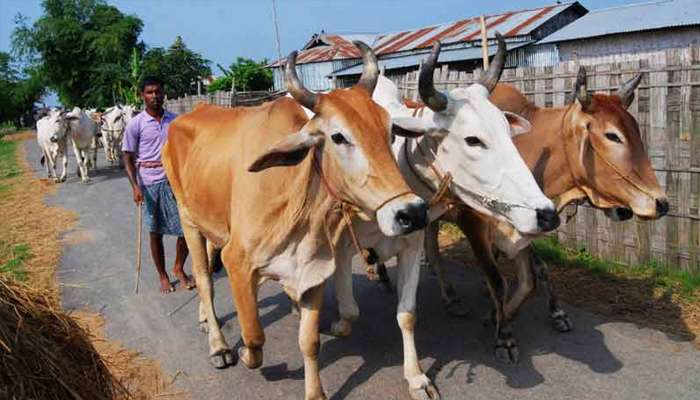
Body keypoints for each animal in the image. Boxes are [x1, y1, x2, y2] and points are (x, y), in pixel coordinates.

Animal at [164, 42, 426, 398]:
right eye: (338, 137)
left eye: (389, 131)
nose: (412, 212)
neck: (298, 200)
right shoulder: (237, 260)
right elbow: (254, 335)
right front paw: (245, 354)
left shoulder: (315, 268)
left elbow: (310, 341)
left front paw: (315, 392)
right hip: (187, 218)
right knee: (204, 279)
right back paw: (218, 345)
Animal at [424, 66, 668, 362]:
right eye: (613, 136)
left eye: (636, 131)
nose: (661, 203)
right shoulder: (473, 223)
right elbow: (498, 279)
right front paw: (504, 335)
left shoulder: (526, 228)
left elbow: (532, 277)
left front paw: (505, 313)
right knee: (432, 250)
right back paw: (449, 296)